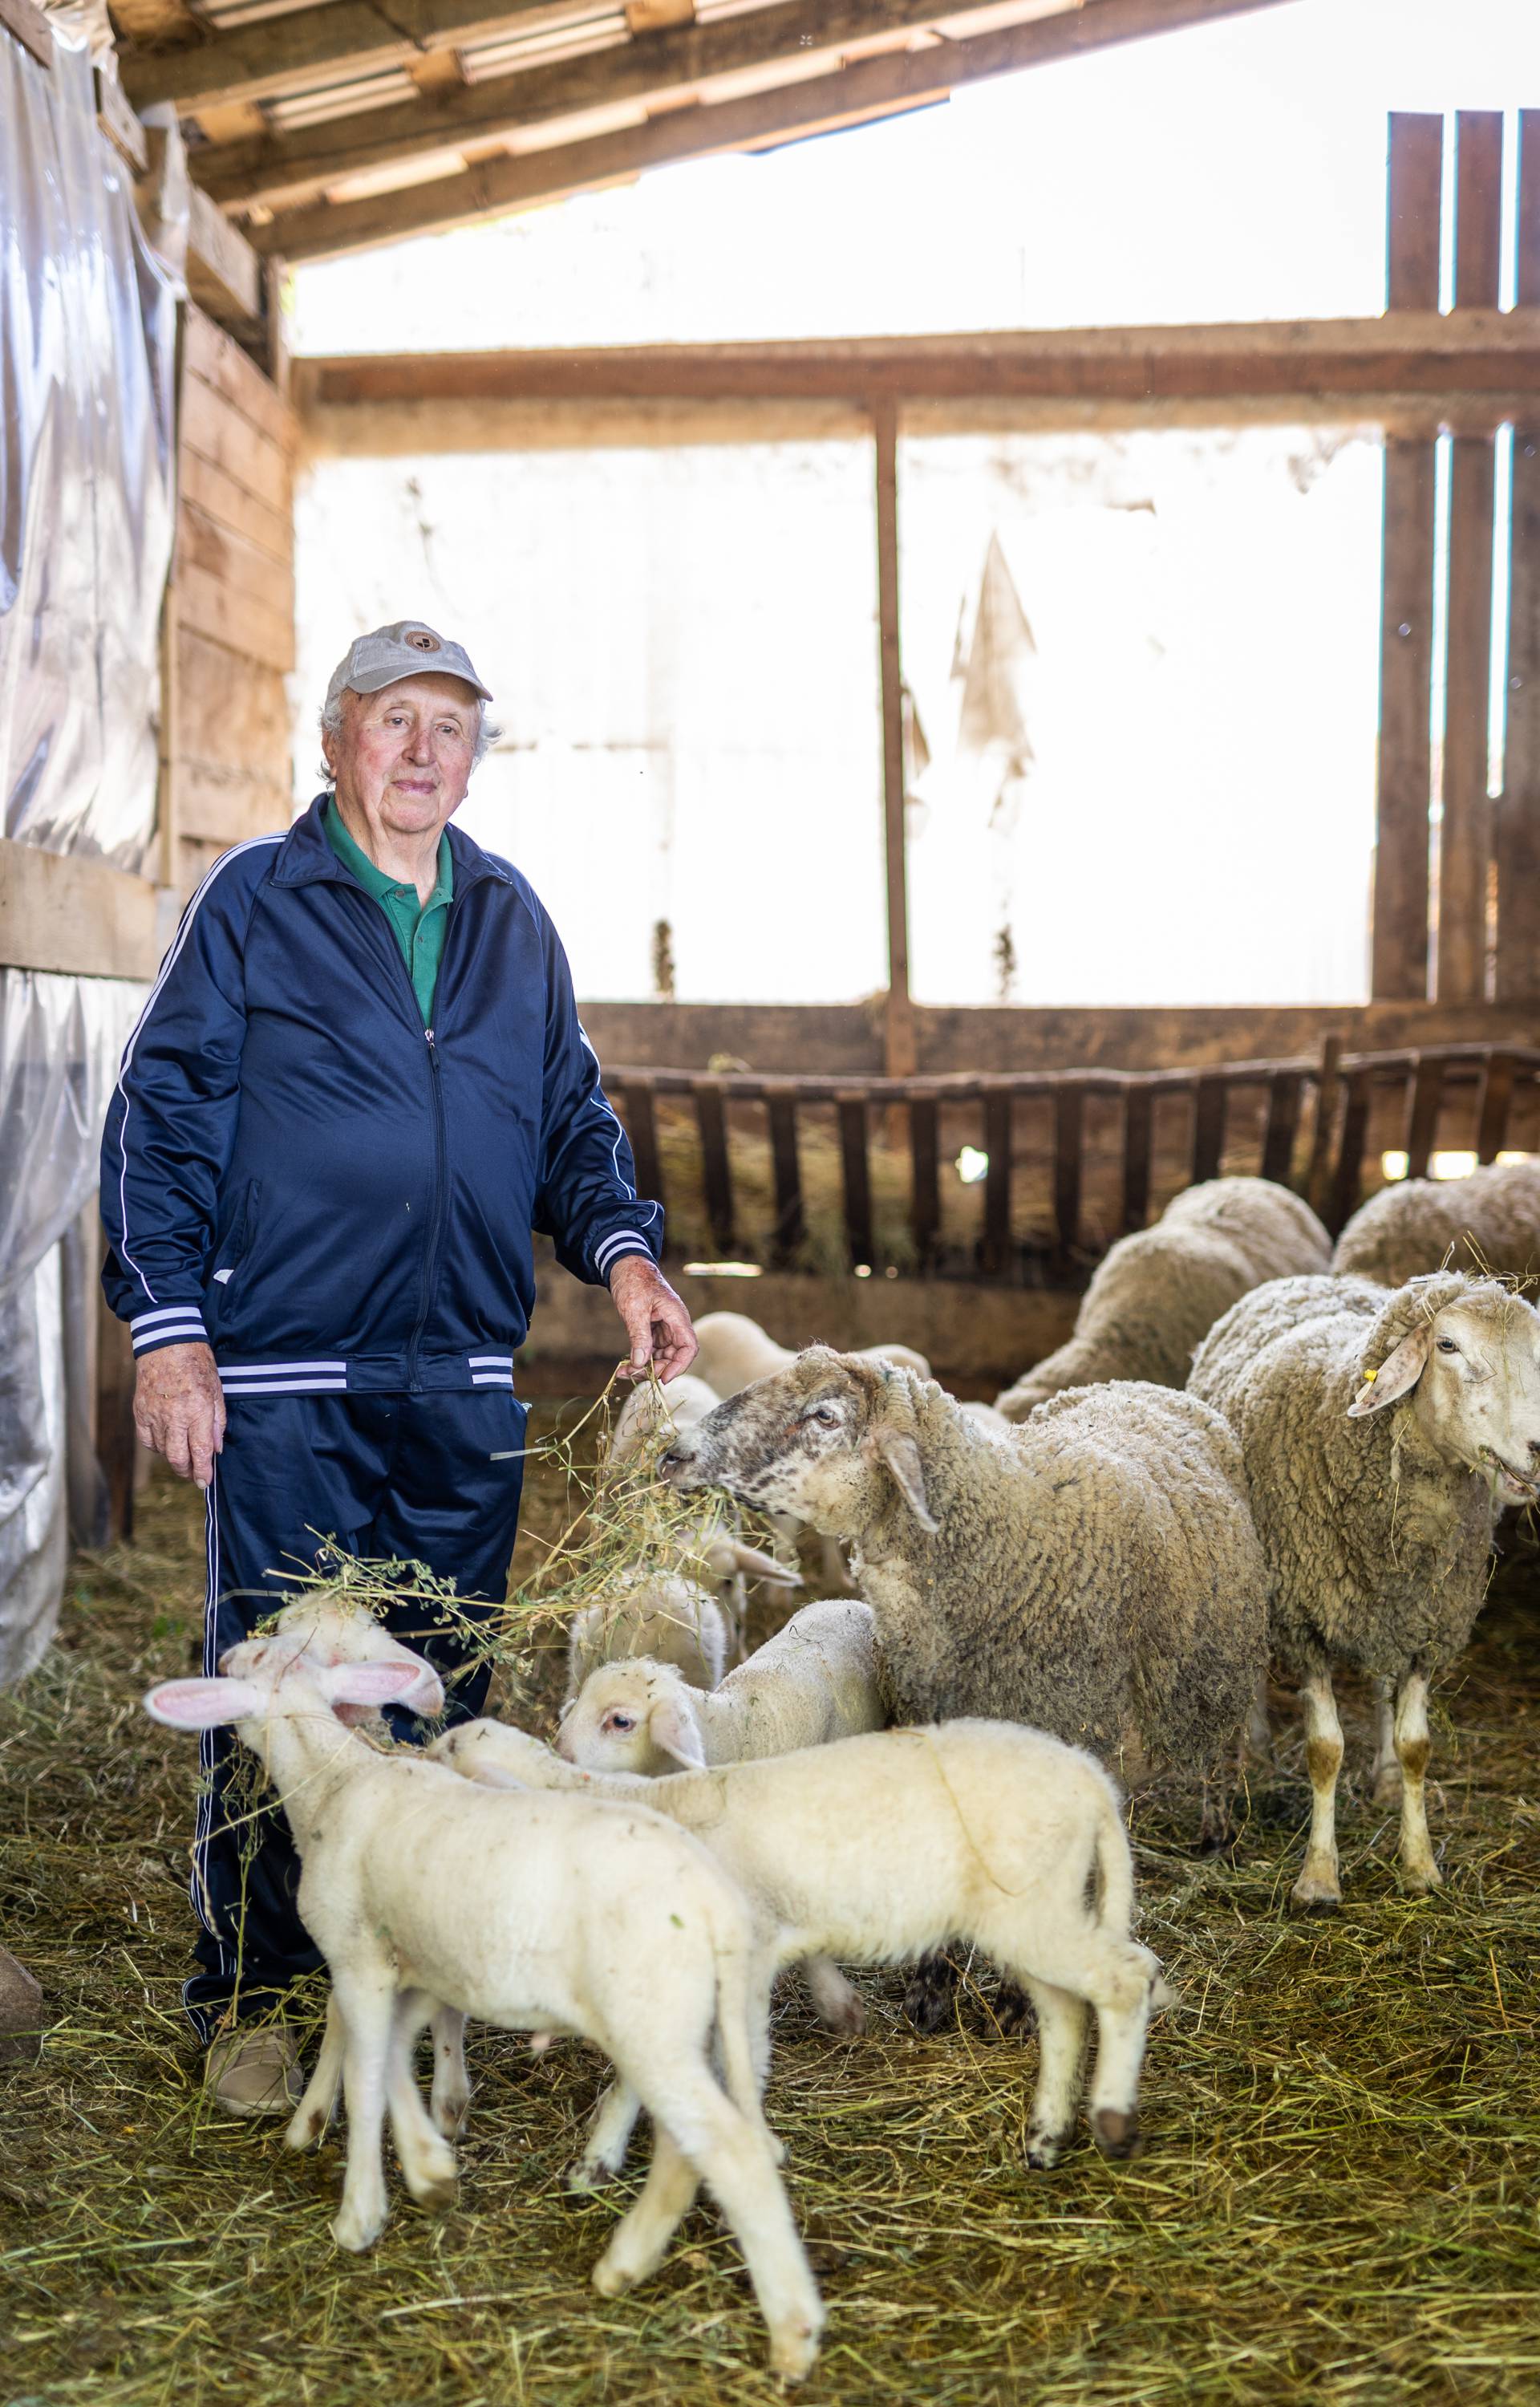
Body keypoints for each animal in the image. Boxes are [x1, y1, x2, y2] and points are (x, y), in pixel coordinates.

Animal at [138, 1637, 823, 2368]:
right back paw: (633, 2259)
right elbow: (392, 2056)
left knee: (728, 2149)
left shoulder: (360, 1961)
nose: (231, 1651)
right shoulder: (420, 1966)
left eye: (250, 1662)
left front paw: (360, 2214)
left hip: (650, 2020)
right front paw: (429, 2162)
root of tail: (715, 1903)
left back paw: (789, 2326)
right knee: (686, 2143)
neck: (335, 1780)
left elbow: (365, 2072)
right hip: (688, 2024)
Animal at [1198, 1271, 1540, 1906]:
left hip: (1387, 1614)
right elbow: (1324, 1751)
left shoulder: (1428, 1624)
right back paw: (1256, 1751)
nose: (1538, 1450)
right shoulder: (1303, 1623)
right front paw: (1318, 1878)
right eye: (1448, 1345)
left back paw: (1382, 1777)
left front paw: (1420, 1865)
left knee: (1383, 1686)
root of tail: (1313, 1276)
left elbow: (1417, 1746)